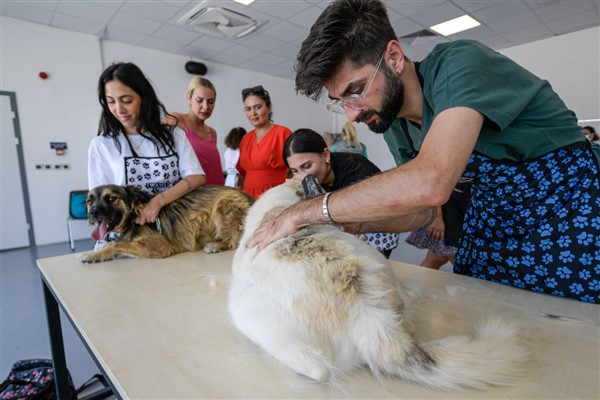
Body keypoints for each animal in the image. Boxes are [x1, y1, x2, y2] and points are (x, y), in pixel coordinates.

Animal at [79, 184, 253, 262]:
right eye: (89, 201)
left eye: (110, 198)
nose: (92, 213)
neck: (133, 217)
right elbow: (114, 243)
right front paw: (99, 249)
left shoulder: (159, 246)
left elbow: (116, 244)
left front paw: (92, 254)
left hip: (224, 205)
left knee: (236, 241)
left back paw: (215, 245)